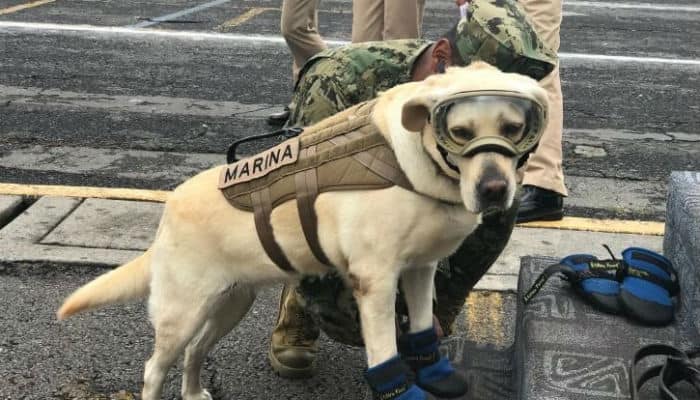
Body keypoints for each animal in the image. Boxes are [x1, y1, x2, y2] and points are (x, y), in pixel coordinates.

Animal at [57, 62, 548, 400]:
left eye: (514, 128)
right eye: (459, 132)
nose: (494, 190)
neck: (418, 162)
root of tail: (168, 211)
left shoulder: (420, 269)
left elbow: (424, 326)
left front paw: (435, 373)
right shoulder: (374, 281)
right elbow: (385, 350)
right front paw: (402, 389)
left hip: (230, 304)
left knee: (195, 353)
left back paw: (195, 393)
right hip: (182, 313)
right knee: (154, 368)